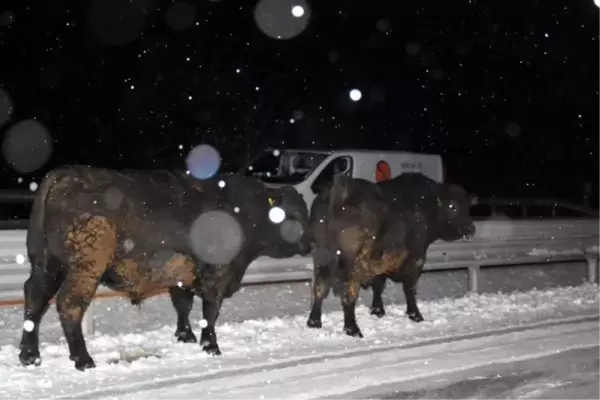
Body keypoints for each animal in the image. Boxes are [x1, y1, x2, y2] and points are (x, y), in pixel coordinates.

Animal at [18, 164, 312, 370]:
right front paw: (211, 345)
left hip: (46, 264)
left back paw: (29, 356)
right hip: (85, 267)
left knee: (35, 297)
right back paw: (83, 359)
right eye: (293, 214)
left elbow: (183, 305)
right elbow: (210, 311)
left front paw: (185, 336)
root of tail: (63, 173)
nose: (310, 242)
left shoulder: (180, 272)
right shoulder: (217, 273)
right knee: (69, 303)